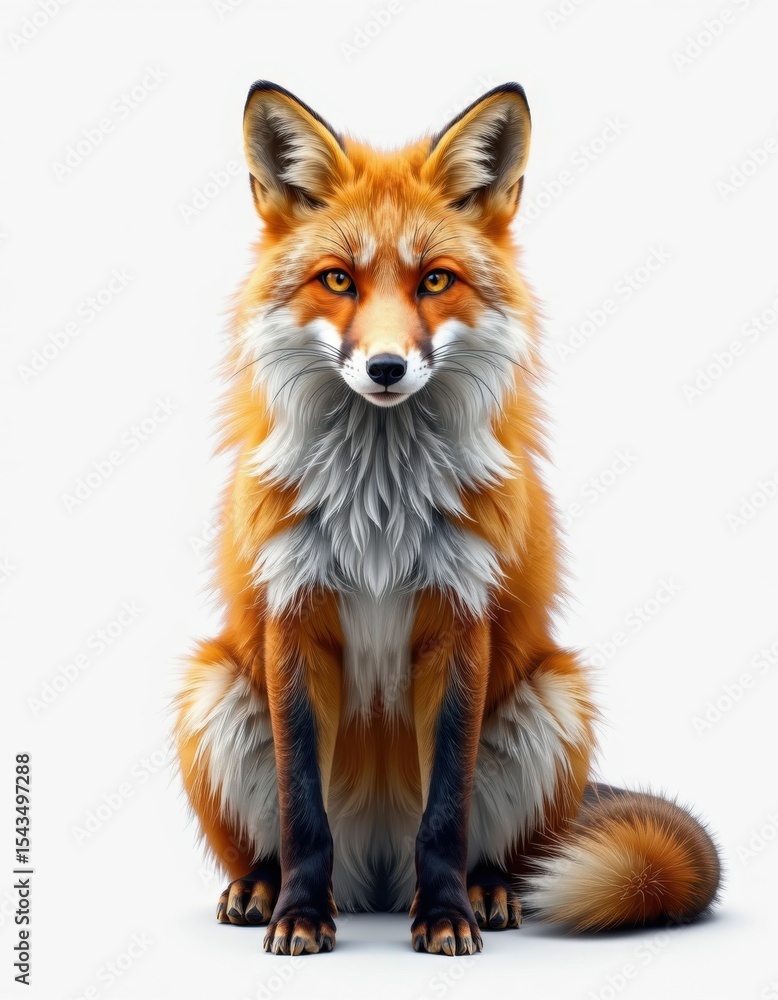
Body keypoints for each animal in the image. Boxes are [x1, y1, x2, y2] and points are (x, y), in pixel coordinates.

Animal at [174, 80, 721, 956]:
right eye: (338, 280)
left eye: (435, 281)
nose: (386, 367)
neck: (378, 513)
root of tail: (373, 879)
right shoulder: (292, 616)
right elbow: (301, 809)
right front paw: (301, 914)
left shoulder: (463, 617)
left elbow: (447, 811)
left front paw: (445, 917)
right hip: (215, 688)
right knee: (275, 839)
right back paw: (262, 887)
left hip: (552, 697)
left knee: (498, 850)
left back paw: (485, 890)